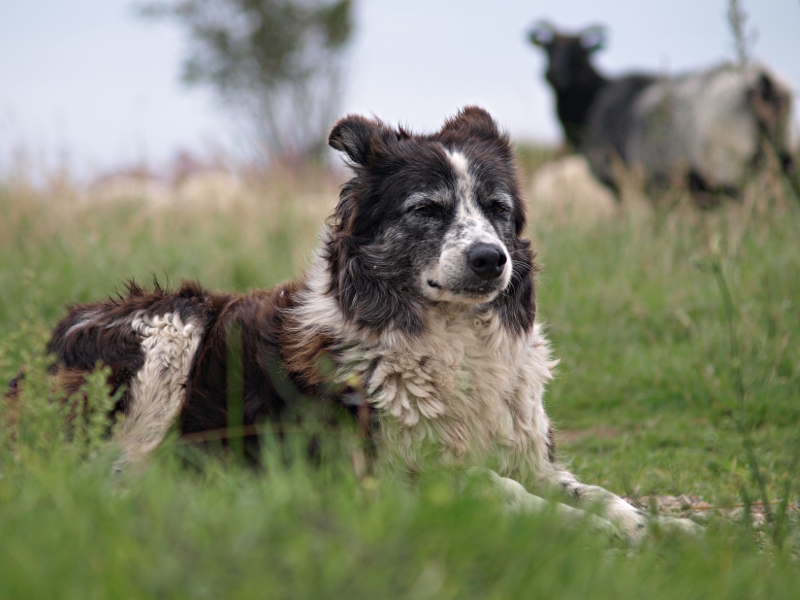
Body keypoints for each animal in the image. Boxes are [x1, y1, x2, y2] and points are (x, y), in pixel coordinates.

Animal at [528, 21, 796, 199]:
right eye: (548, 49)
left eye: (578, 52)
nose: (554, 75)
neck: (594, 102)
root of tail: (763, 80)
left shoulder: (630, 185)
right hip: (780, 155)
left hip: (729, 165)